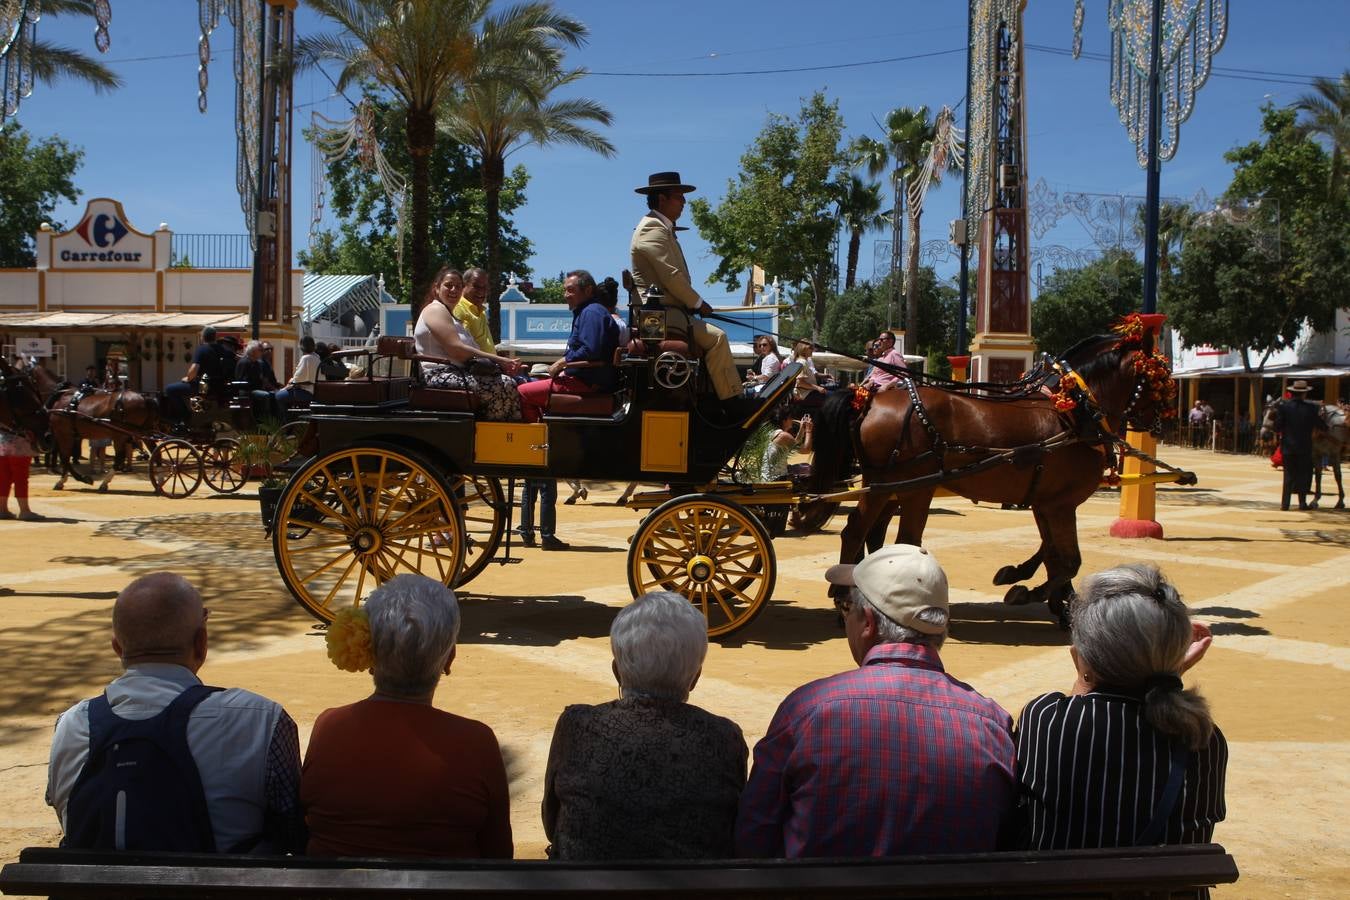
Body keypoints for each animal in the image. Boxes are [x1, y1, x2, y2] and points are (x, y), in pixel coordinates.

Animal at [804, 322, 1177, 626]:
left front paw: (1053, 597)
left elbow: (1052, 554)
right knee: (858, 531)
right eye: (1161, 376)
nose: (1166, 422)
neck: (1073, 412)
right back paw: (843, 597)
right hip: (894, 485)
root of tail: (867, 399)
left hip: (899, 487)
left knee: (887, 536)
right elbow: (1069, 559)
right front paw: (1030, 592)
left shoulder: (1046, 502)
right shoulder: (1060, 505)